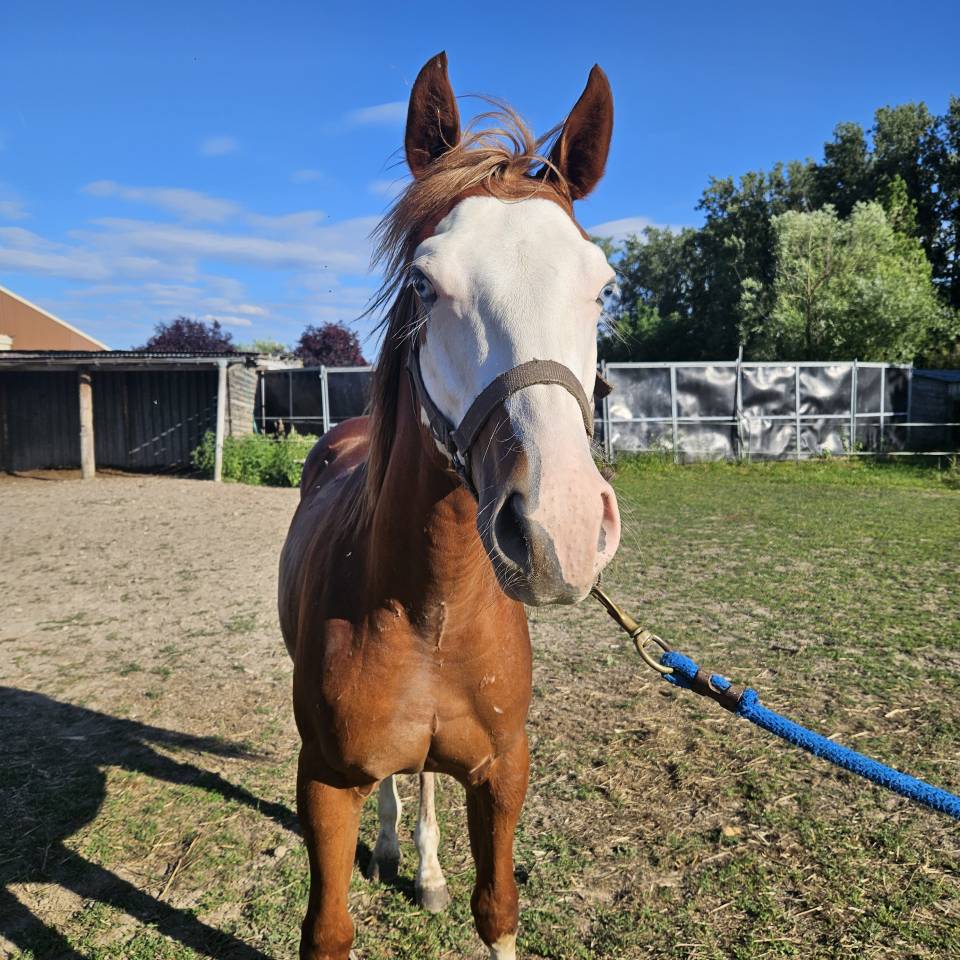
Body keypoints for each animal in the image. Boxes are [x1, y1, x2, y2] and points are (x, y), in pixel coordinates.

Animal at [278, 52, 621, 960]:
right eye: (426, 285)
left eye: (603, 288)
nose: (561, 530)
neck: (429, 608)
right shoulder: (324, 780)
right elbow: (329, 928)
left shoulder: (504, 773)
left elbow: (495, 908)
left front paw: (446, 880)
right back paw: (398, 847)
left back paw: (427, 869)